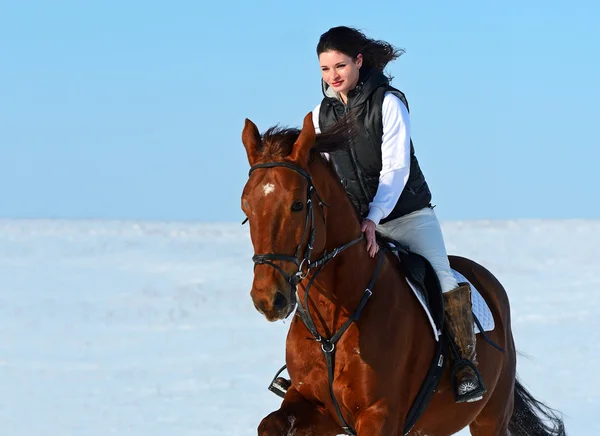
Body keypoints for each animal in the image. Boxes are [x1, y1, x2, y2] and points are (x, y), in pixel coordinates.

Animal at [239, 113, 568, 436]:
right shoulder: (316, 408)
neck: (332, 325)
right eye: (246, 206)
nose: (268, 299)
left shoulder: (380, 415)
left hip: (490, 416)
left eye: (297, 204)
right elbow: (269, 425)